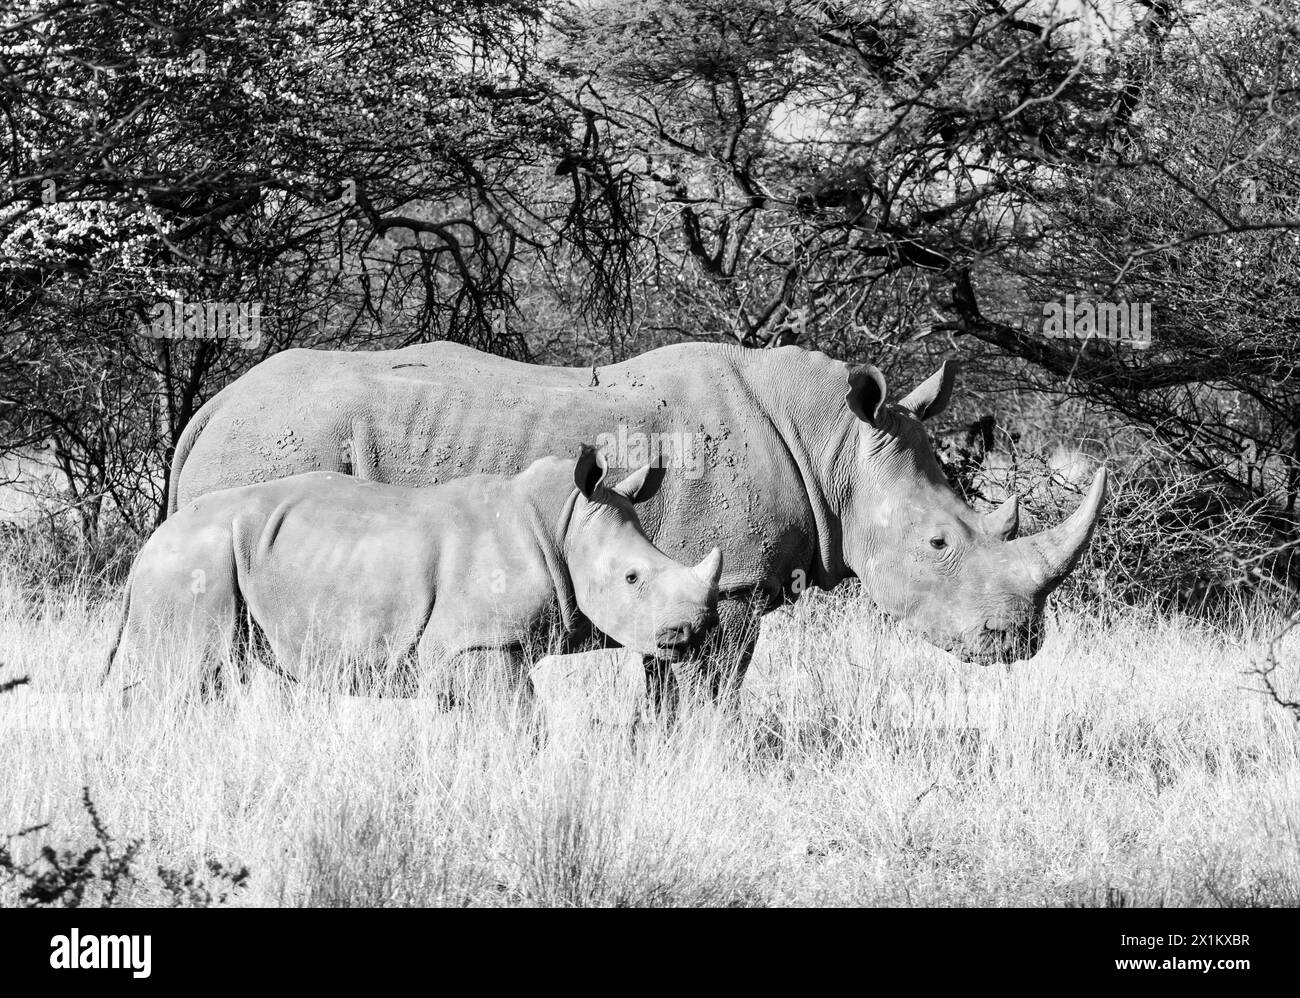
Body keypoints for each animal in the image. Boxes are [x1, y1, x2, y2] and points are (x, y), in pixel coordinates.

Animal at [105, 447, 722, 708]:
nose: (693, 633)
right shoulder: (479, 644)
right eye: (633, 579)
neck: (563, 522)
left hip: (209, 556)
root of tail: (148, 545)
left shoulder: (458, 652)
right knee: (184, 678)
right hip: (195, 559)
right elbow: (521, 722)